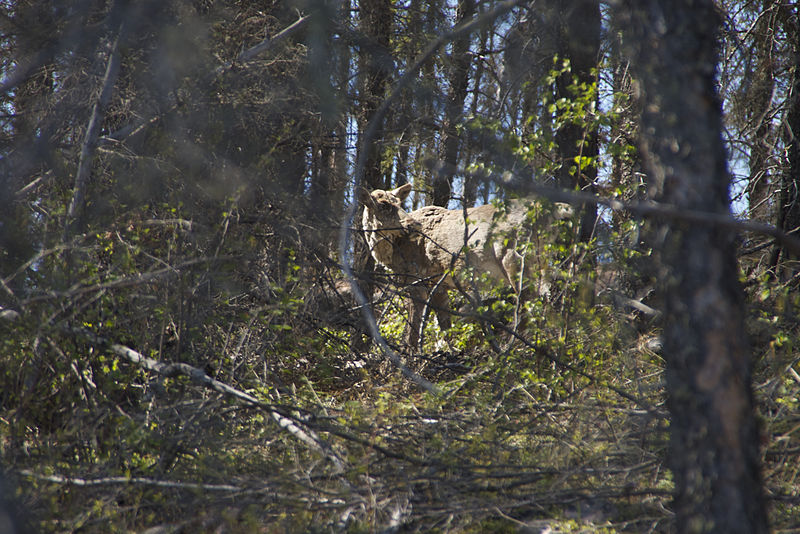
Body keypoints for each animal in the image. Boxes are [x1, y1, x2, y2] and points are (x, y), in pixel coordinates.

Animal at [362, 184, 568, 352]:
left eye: (398, 203)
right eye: (384, 205)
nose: (414, 225)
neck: (390, 253)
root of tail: (555, 212)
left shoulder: (415, 278)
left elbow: (414, 326)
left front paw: (410, 356)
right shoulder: (438, 283)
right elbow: (444, 323)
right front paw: (450, 351)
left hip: (515, 256)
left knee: (526, 301)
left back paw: (514, 345)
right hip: (542, 261)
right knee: (546, 300)